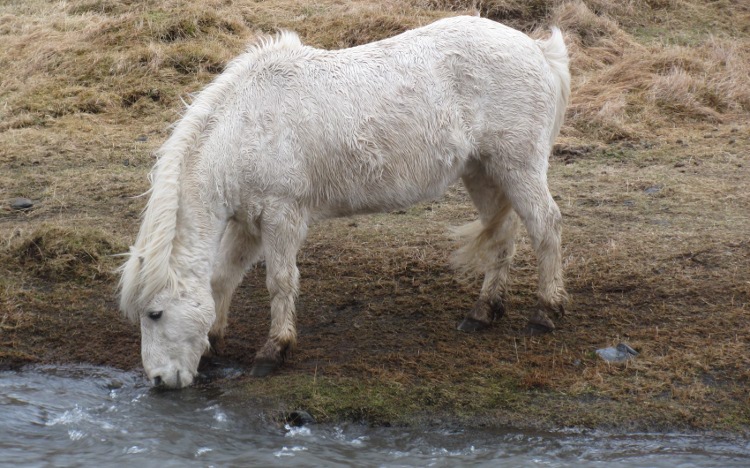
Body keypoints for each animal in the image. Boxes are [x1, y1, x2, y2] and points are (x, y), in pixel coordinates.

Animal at [118, 15, 570, 388]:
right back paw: (483, 312)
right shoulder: (248, 222)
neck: (245, 127)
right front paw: (214, 339)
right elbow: (221, 278)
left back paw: (546, 312)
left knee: (546, 226)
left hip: (517, 167)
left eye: (154, 313)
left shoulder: (281, 216)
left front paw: (274, 351)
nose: (159, 380)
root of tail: (536, 49)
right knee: (503, 234)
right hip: (481, 171)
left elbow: (279, 281)